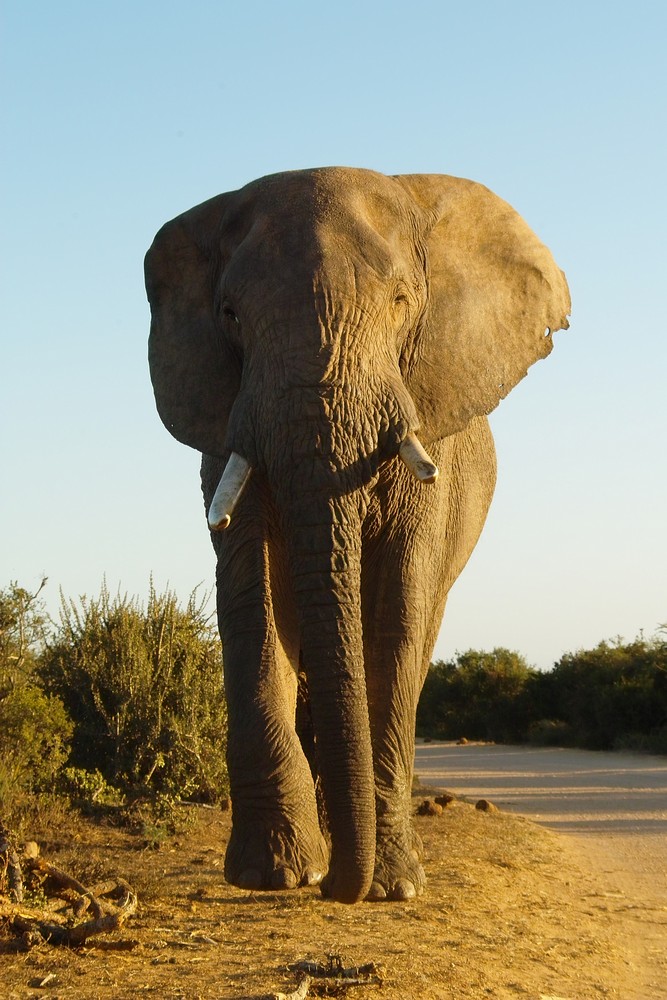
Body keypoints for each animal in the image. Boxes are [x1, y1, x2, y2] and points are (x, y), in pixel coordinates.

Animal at [145, 166, 568, 908]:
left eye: (401, 302)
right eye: (229, 316)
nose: (335, 887)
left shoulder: (428, 433)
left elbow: (397, 608)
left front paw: (391, 888)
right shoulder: (228, 429)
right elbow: (249, 594)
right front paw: (271, 875)